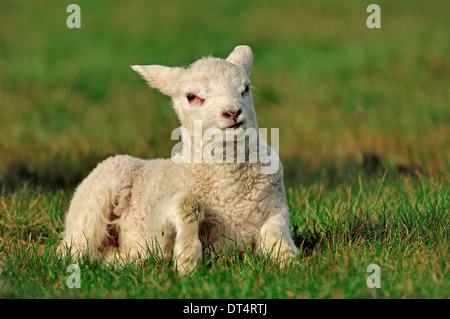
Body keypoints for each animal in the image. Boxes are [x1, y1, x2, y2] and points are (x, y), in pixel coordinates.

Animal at [59, 45, 298, 276]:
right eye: (191, 96)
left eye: (246, 88)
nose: (232, 113)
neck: (230, 193)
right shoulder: (155, 228)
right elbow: (187, 204)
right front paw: (187, 260)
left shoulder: (276, 209)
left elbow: (276, 236)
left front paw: (289, 261)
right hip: (93, 204)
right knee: (73, 250)